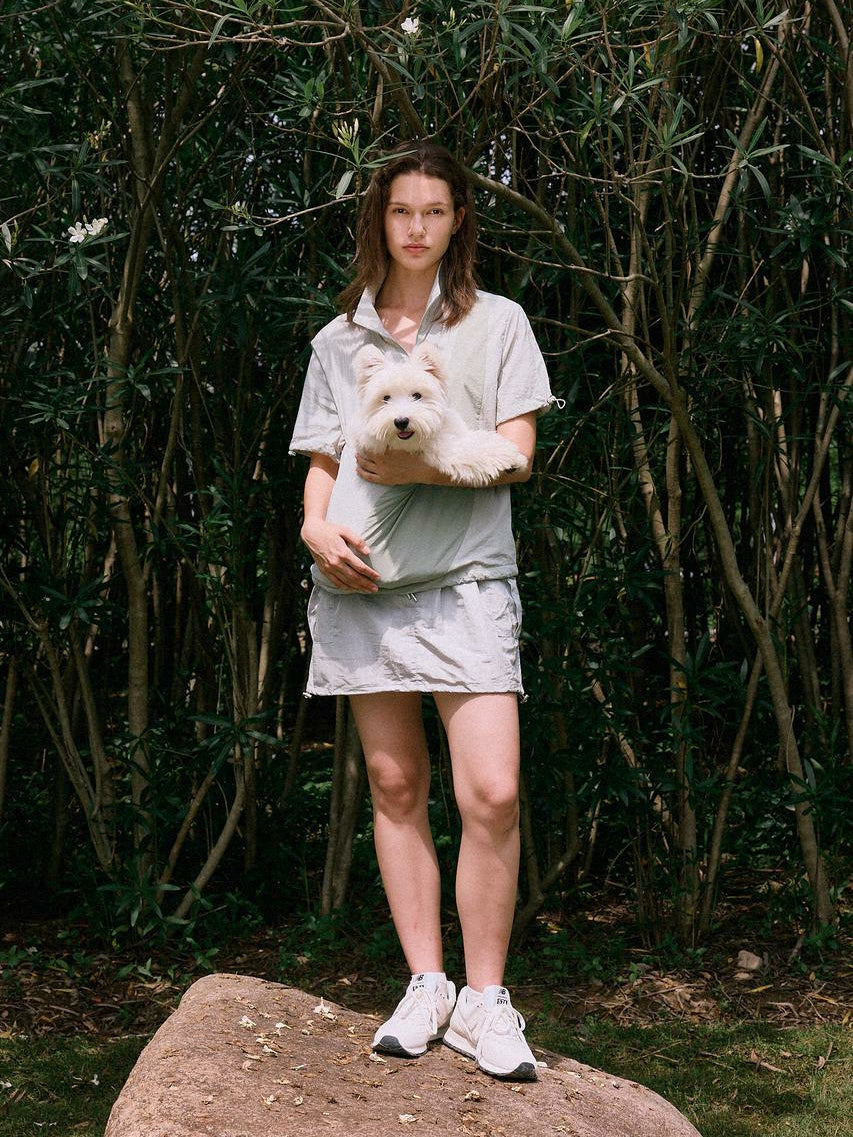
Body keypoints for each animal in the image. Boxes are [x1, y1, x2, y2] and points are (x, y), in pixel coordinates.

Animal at [353, 342, 526, 487]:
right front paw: (505, 453)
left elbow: (476, 438)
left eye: (417, 395)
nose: (401, 421)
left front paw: (518, 460)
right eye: (386, 398)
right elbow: (471, 450)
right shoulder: (442, 450)